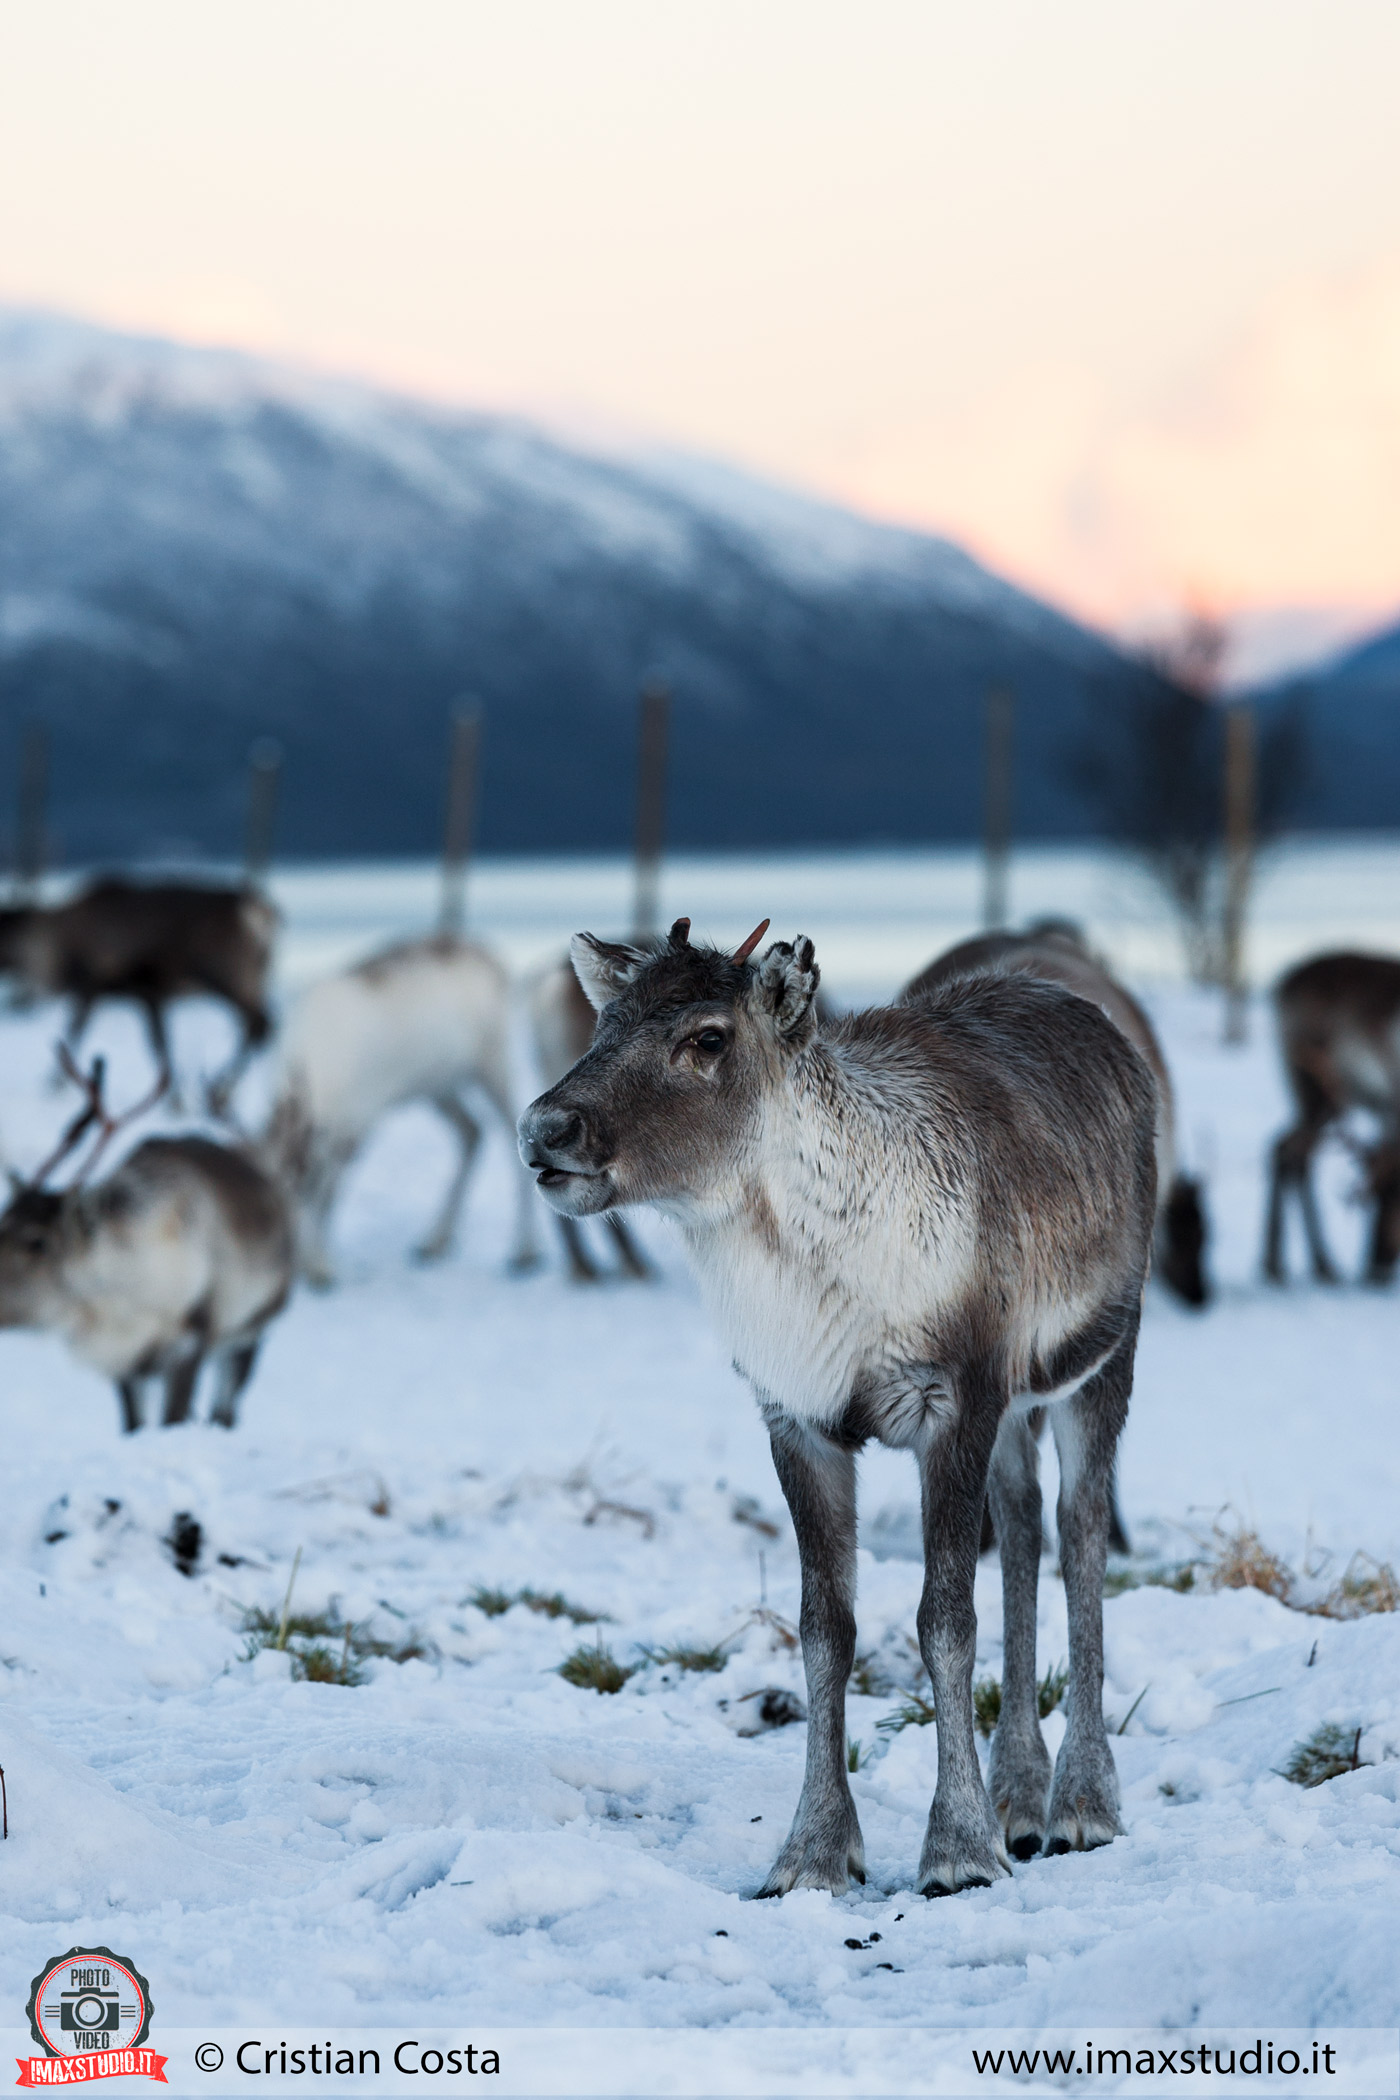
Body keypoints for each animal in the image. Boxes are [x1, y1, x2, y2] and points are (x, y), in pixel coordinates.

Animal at [0, 877, 277, 1111]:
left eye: (7, 930)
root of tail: (262, 913)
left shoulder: (95, 984)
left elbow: (76, 1029)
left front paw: (52, 1083)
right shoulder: (150, 995)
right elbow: (160, 1043)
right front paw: (174, 1098)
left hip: (225, 975)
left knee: (258, 1024)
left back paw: (219, 1091)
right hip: (252, 978)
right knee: (259, 1026)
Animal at [0, 1052, 293, 1431]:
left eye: (37, 1242)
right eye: (1, 1225)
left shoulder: (192, 1338)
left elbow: (174, 1418)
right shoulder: (124, 1360)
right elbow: (134, 1425)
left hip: (252, 1330)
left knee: (227, 1407)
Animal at [262, 934, 541, 1288]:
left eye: (294, 1189)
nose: (279, 1259)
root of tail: (490, 957)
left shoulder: (356, 1124)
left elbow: (329, 1195)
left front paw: (320, 1267)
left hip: (492, 1063)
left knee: (508, 1133)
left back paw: (524, 1251)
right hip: (439, 1085)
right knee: (471, 1131)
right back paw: (435, 1241)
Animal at [520, 917, 1158, 1898]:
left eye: (709, 1037)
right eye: (604, 1023)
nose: (545, 1127)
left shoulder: (955, 1399)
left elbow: (944, 1621)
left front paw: (957, 1850)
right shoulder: (800, 1421)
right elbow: (826, 1631)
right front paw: (814, 1854)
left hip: (1100, 1356)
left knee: (1080, 1528)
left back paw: (1082, 1802)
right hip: (1016, 1406)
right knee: (1021, 1525)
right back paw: (1018, 1792)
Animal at [1264, 950, 1400, 1286]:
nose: (1376, 1267)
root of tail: (1282, 986)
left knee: (1283, 1146)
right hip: (1315, 1085)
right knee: (1295, 1152)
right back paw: (1317, 1264)